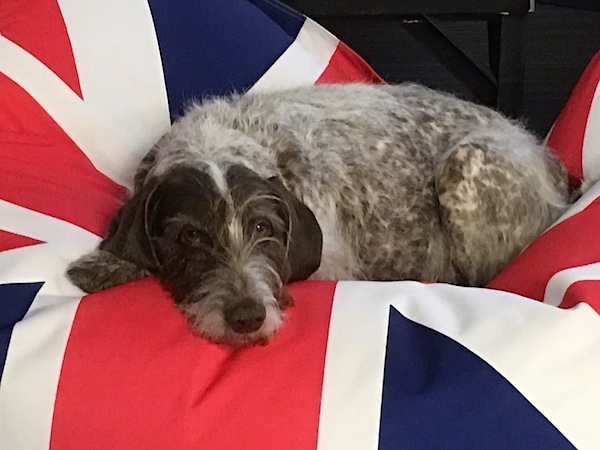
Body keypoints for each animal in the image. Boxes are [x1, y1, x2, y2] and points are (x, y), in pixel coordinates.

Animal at [65, 83, 572, 344]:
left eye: (263, 228)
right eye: (190, 237)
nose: (246, 317)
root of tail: (549, 161)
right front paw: (105, 263)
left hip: (466, 165)